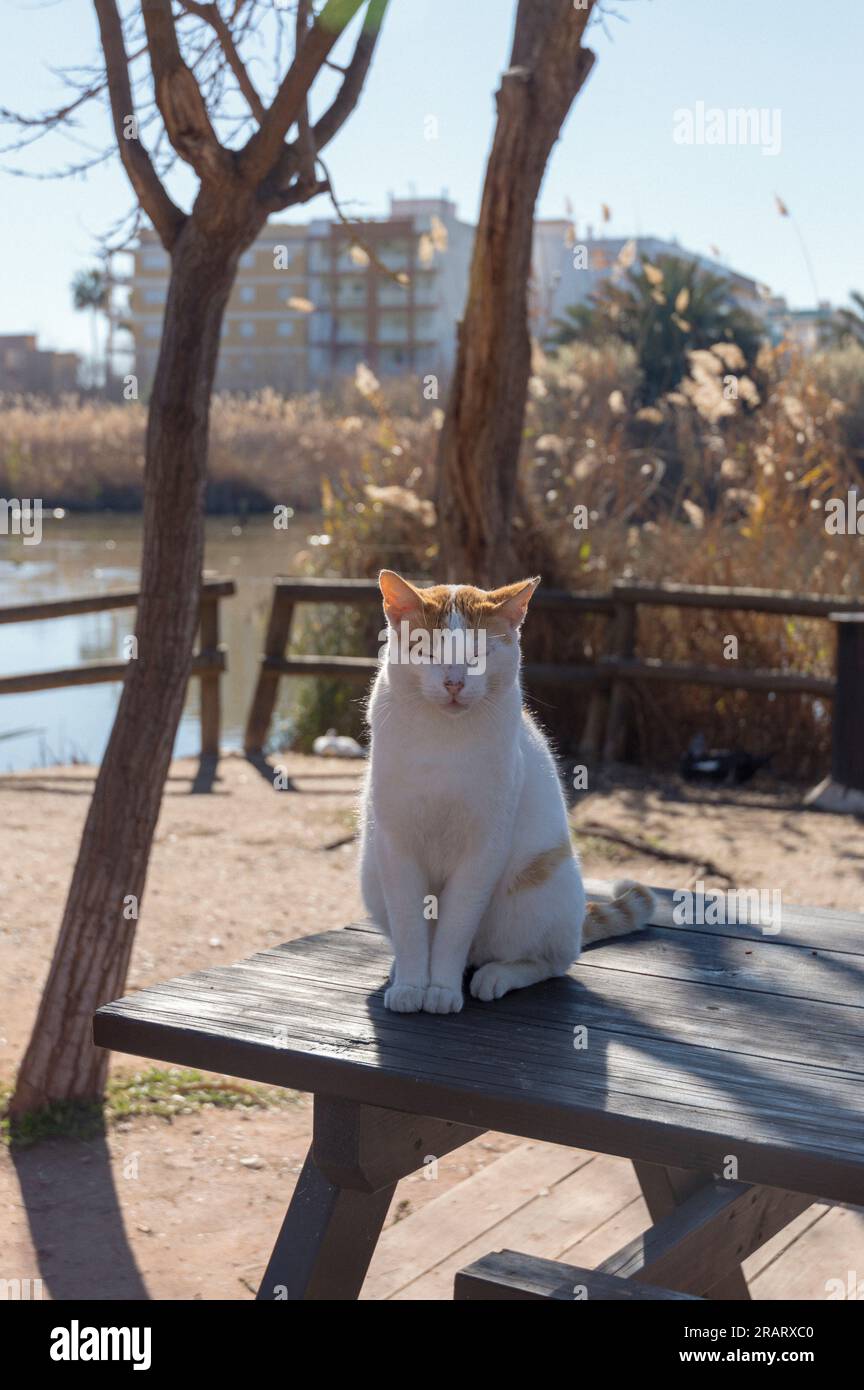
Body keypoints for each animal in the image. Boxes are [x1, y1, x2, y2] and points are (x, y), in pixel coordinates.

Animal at [361, 569, 655, 1017]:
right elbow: (411, 927)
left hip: (535, 890)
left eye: (479, 655)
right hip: (371, 877)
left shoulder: (483, 849)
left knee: (551, 961)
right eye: (426, 652)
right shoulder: (396, 846)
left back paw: (497, 975)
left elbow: (453, 929)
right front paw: (412, 983)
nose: (454, 682)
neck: (443, 742)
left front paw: (441, 988)